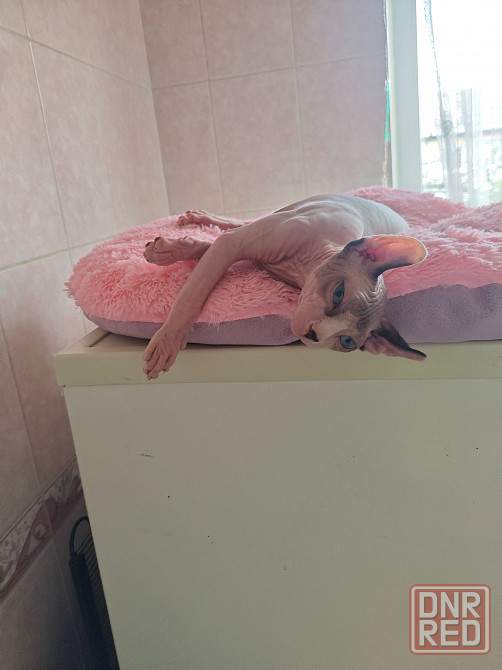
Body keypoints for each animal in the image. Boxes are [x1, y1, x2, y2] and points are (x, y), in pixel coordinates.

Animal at [142, 194, 427, 379]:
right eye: (338, 294)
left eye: (346, 341)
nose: (314, 335)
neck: (298, 268)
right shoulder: (236, 244)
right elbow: (193, 292)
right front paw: (167, 342)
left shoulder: (242, 252)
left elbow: (208, 250)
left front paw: (177, 249)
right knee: (241, 223)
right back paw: (197, 219)